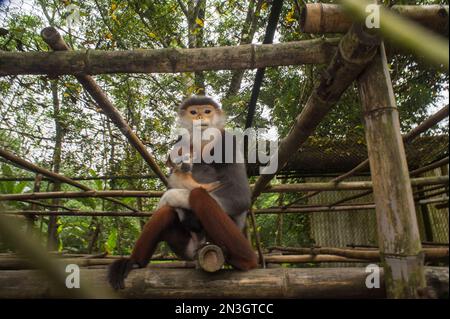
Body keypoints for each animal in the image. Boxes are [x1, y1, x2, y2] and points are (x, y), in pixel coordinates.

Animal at [107, 94, 258, 290]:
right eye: (193, 112)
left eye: (207, 111)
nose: (200, 117)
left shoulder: (228, 142)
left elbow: (240, 196)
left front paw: (168, 198)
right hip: (186, 247)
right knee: (166, 213)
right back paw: (133, 263)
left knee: (198, 195)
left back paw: (245, 261)